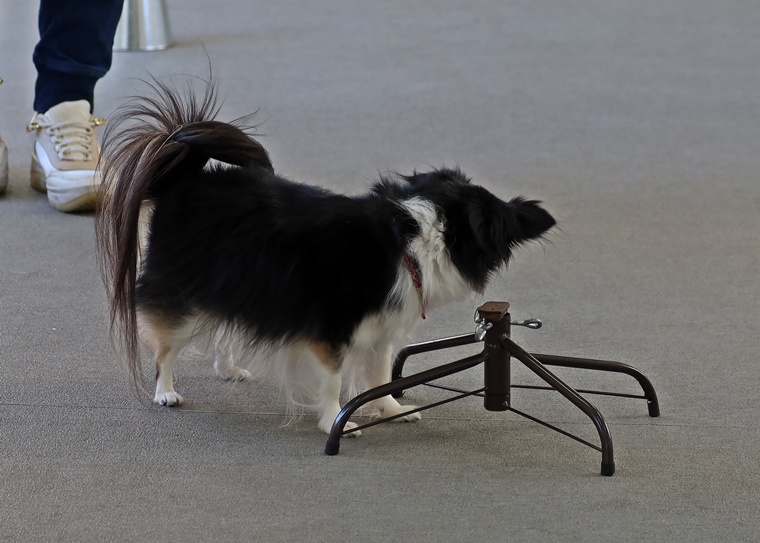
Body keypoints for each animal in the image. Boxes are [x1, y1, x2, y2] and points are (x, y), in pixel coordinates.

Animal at [96, 77, 556, 436]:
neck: (414, 237)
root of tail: (183, 178)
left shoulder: (380, 331)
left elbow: (379, 374)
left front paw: (391, 410)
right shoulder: (331, 332)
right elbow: (334, 382)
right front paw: (336, 421)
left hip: (234, 282)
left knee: (225, 324)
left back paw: (228, 369)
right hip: (183, 295)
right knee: (166, 348)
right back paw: (166, 392)